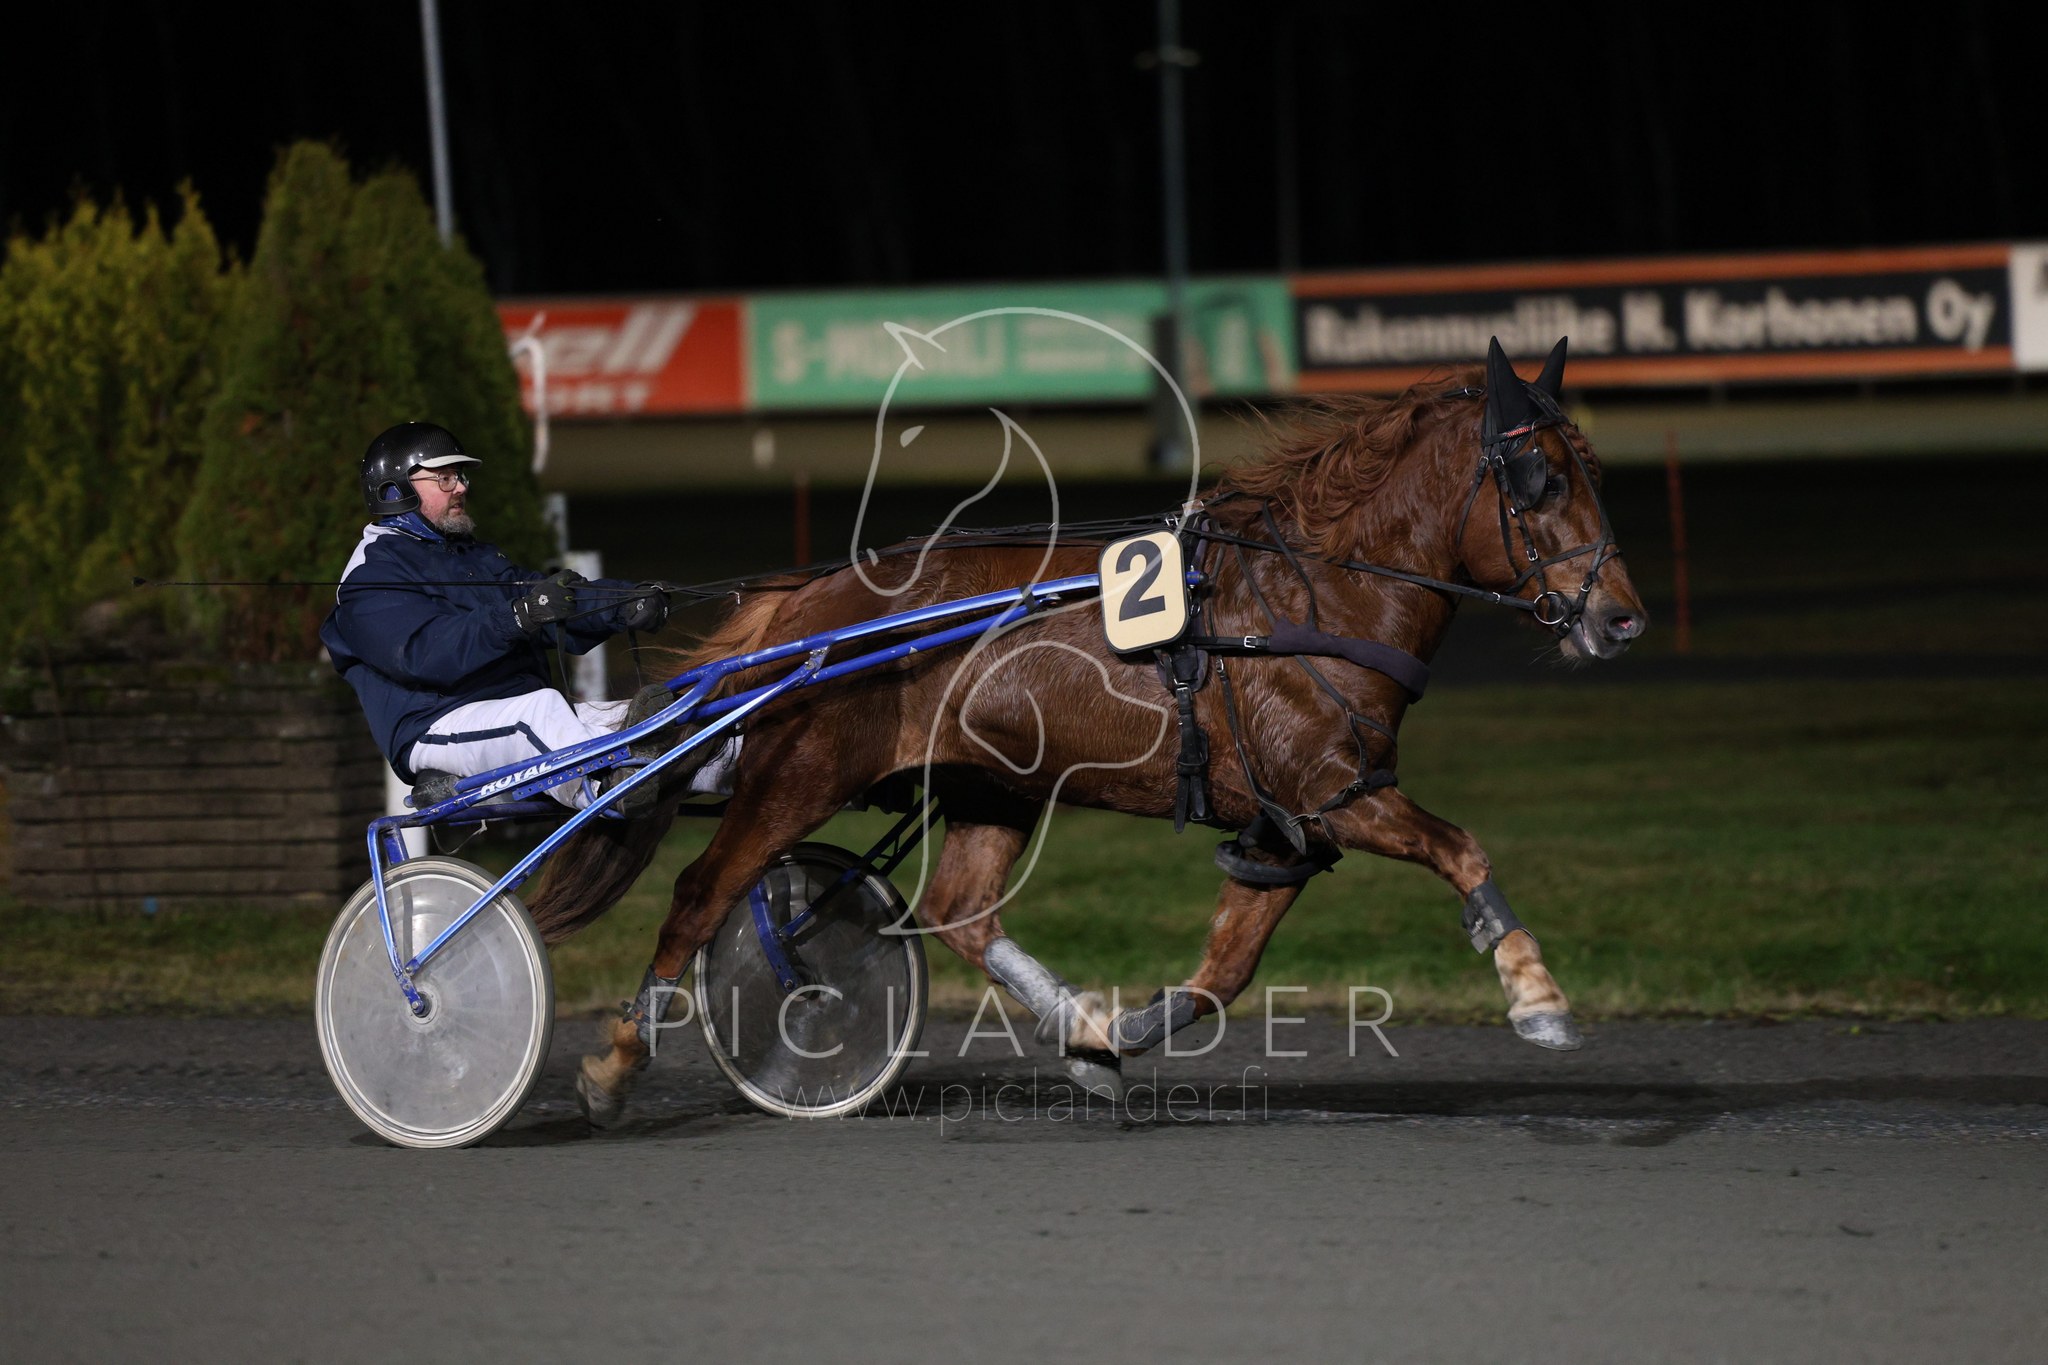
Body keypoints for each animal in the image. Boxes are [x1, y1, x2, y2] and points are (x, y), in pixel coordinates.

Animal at [529, 336, 1648, 1125]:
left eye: (1594, 470)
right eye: (1539, 480)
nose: (1621, 619)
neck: (1311, 598)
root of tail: (810, 601)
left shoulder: (1288, 827)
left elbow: (1226, 969)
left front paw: (1125, 1033)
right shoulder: (1338, 794)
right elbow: (1462, 849)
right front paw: (1536, 996)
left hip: (993, 786)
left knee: (960, 910)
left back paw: (1079, 1029)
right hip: (798, 774)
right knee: (702, 894)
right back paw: (614, 1066)